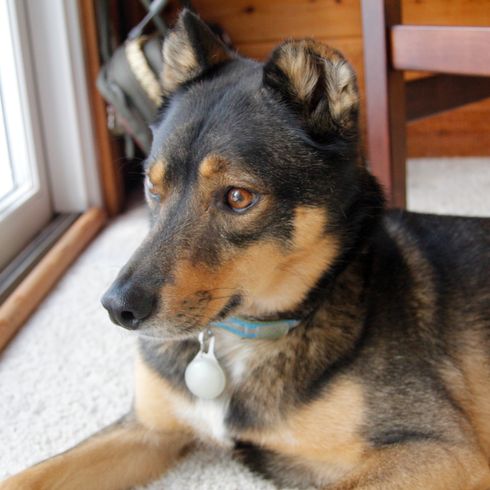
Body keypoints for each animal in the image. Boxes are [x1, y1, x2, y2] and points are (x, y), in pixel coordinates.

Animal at [3, 8, 490, 490]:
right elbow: (30, 475)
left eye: (238, 197)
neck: (240, 339)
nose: (117, 309)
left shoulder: (437, 450)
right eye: (151, 186)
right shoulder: (146, 429)